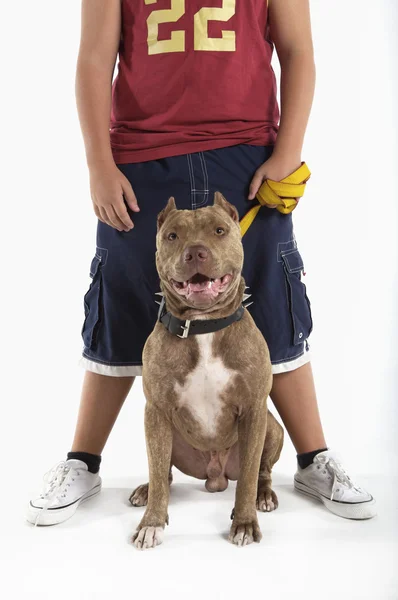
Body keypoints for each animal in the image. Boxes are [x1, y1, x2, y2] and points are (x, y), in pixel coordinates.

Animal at [131, 196, 282, 548]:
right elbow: (157, 470)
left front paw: (244, 522)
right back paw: (146, 490)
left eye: (219, 230)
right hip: (163, 431)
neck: (203, 327)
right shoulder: (156, 410)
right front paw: (151, 523)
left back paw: (264, 495)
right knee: (162, 472)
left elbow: (249, 477)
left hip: (272, 428)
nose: (195, 252)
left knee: (262, 471)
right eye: (172, 236)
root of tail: (216, 476)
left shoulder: (254, 410)